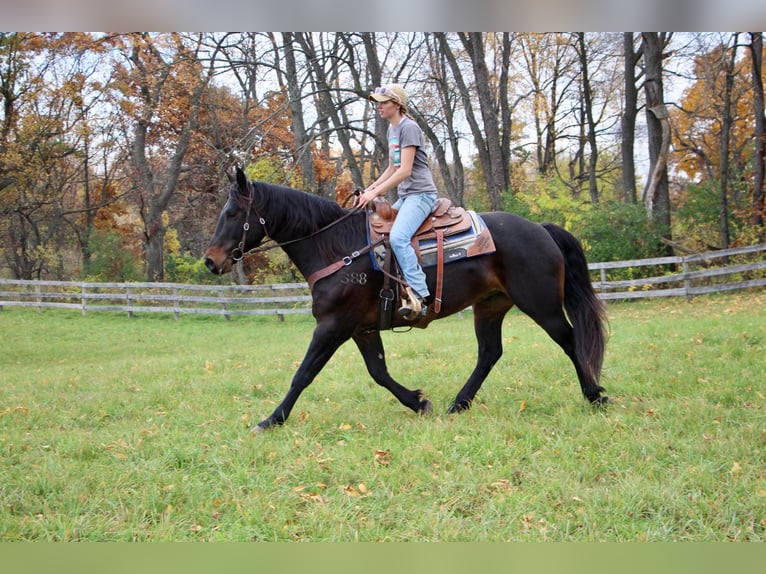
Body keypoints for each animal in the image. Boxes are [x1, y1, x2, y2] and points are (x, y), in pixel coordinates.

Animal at [206, 169, 612, 434]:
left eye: (232, 213)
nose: (211, 260)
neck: (336, 246)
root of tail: (540, 229)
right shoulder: (362, 329)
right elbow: (379, 372)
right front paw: (418, 402)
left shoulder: (332, 326)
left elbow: (303, 374)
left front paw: (270, 420)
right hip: (490, 306)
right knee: (489, 353)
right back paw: (458, 404)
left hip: (541, 305)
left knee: (570, 340)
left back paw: (595, 396)